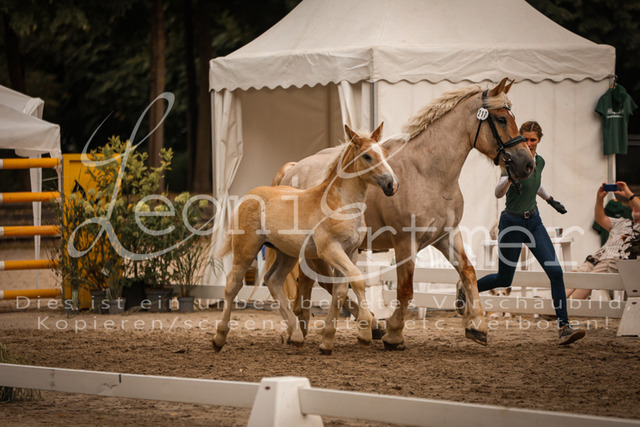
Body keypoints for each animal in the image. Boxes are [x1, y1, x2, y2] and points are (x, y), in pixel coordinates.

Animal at [213, 123, 399, 353]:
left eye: (385, 153)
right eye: (367, 156)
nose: (392, 185)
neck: (340, 203)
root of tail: (249, 196)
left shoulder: (350, 252)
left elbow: (340, 291)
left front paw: (327, 342)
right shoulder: (330, 250)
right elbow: (357, 280)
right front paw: (365, 333)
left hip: (287, 254)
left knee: (273, 281)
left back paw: (296, 335)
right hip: (246, 250)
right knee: (232, 285)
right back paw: (219, 339)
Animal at [272, 78, 534, 349]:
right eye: (501, 119)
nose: (527, 164)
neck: (428, 173)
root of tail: (294, 169)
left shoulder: (446, 235)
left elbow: (468, 272)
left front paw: (477, 326)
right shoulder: (405, 241)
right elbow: (405, 289)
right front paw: (394, 333)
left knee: (314, 282)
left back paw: (314, 326)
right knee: (323, 282)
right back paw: (361, 325)